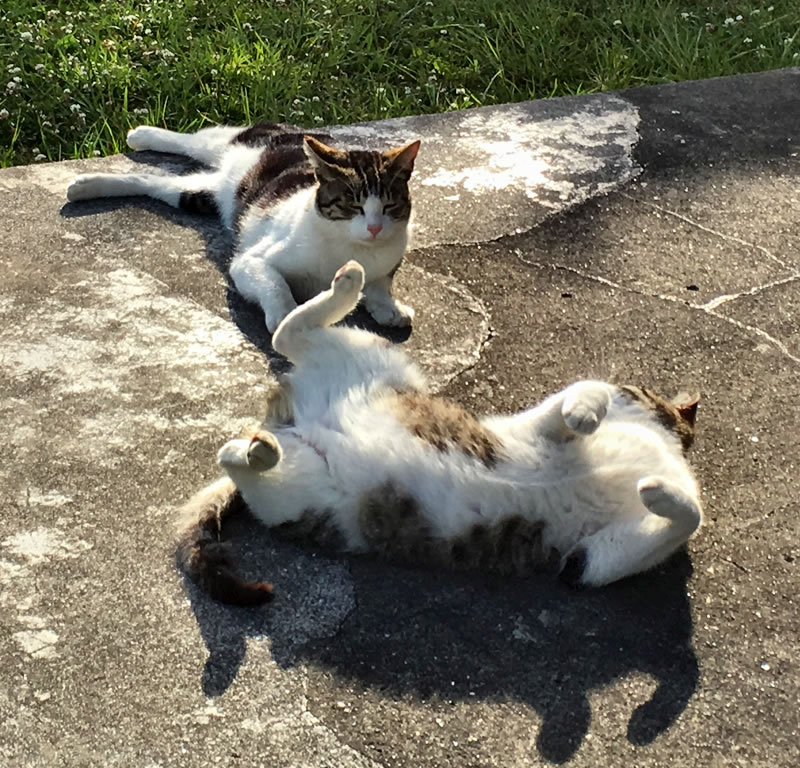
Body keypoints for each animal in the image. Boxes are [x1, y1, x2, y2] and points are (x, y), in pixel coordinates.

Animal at [65, 121, 422, 332]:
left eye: (390, 206)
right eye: (353, 206)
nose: (374, 228)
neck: (351, 249)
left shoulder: (387, 263)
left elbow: (380, 286)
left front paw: (388, 308)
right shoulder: (251, 261)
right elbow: (274, 283)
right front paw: (284, 313)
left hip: (198, 194)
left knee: (152, 182)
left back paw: (89, 185)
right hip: (234, 142)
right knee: (194, 140)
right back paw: (140, 135)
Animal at [178, 260, 704, 604]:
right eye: (636, 386)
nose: (623, 390)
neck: (654, 445)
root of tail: (287, 418)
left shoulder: (589, 561)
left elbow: (688, 515)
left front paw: (657, 492)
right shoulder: (534, 426)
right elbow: (580, 390)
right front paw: (587, 412)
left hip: (300, 496)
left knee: (239, 454)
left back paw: (259, 451)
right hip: (374, 357)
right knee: (287, 333)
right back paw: (348, 282)